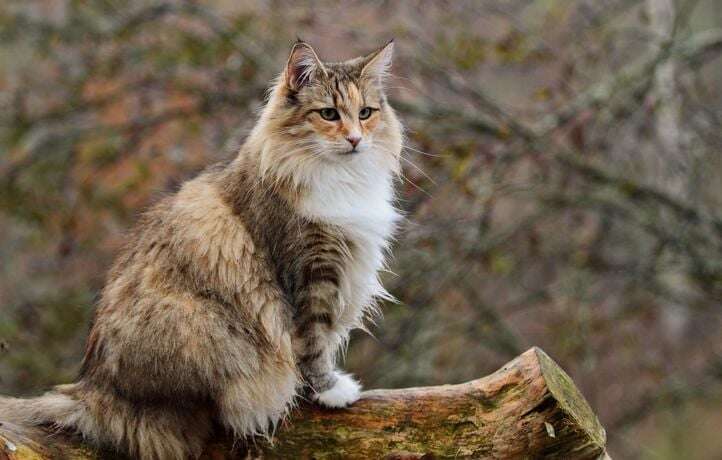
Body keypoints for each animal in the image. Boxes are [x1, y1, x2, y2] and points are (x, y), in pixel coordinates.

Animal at [0, 40, 400, 460]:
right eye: (328, 114)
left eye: (365, 113)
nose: (355, 140)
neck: (341, 180)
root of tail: (94, 390)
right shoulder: (309, 273)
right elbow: (313, 344)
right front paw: (330, 390)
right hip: (201, 322)